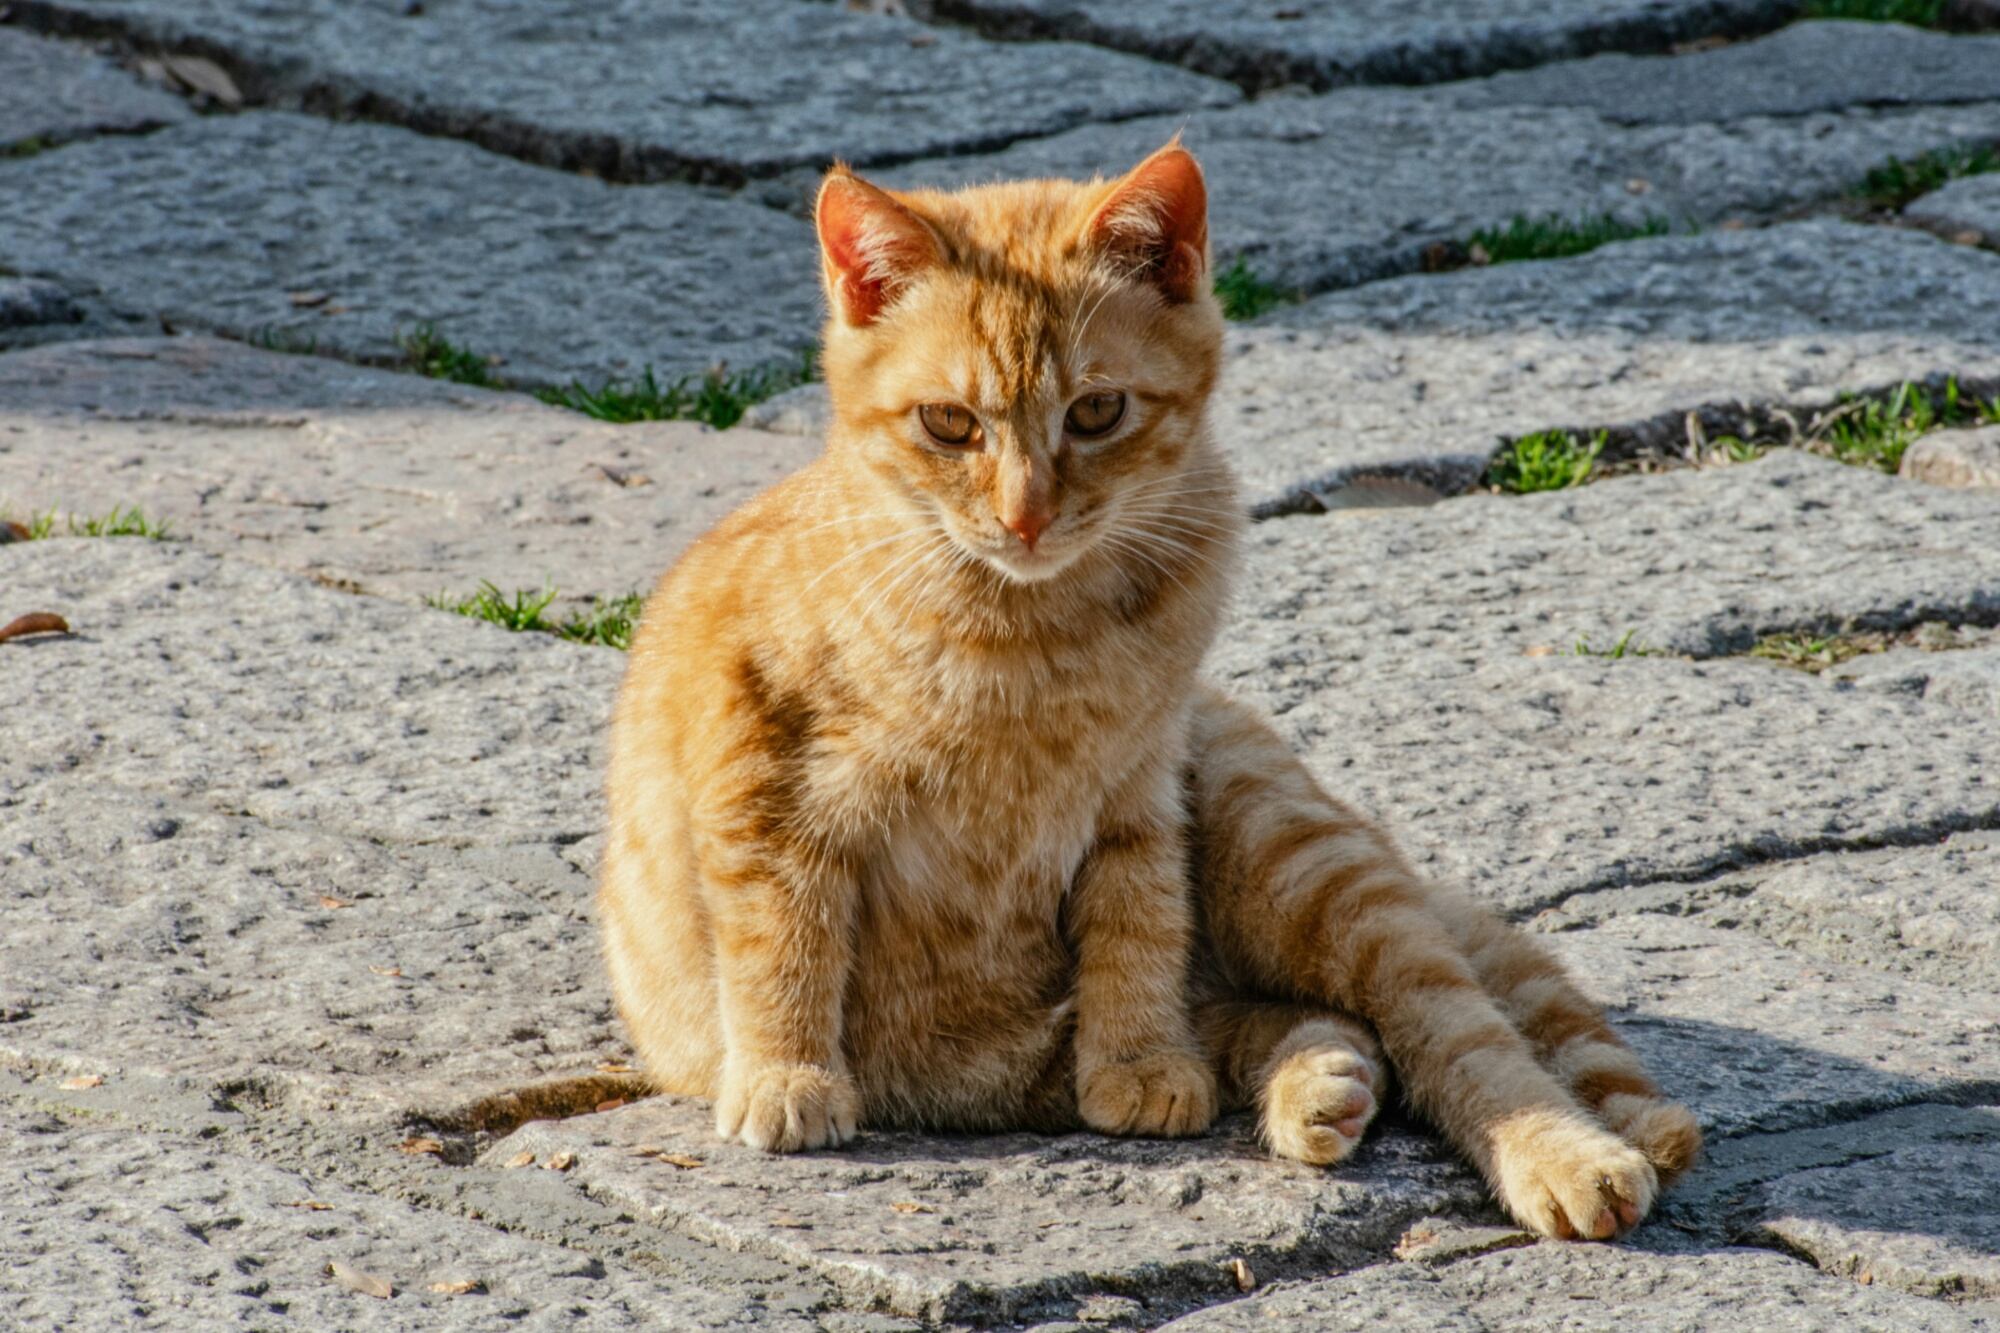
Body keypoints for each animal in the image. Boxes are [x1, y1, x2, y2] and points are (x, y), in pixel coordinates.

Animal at [600, 143, 1696, 1232]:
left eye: (1095, 411)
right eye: (949, 424)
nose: (1026, 516)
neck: (1030, 637)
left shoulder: (1138, 794)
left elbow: (1137, 924)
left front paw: (1135, 1059)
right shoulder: (764, 786)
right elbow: (781, 940)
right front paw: (786, 1076)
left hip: (1296, 867)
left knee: (1450, 1026)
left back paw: (1557, 1153)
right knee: (1316, 1019)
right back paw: (1321, 1090)